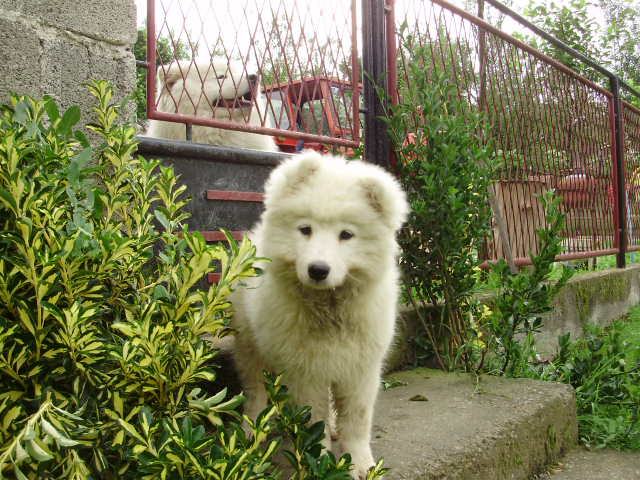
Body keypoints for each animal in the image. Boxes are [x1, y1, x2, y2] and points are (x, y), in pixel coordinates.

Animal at [232, 150, 408, 476]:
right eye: (305, 229)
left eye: (346, 235)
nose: (317, 269)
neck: (329, 308)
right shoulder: (305, 372)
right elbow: (313, 421)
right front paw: (320, 462)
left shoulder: (358, 368)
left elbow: (357, 420)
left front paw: (361, 464)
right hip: (248, 341)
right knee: (255, 385)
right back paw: (253, 427)